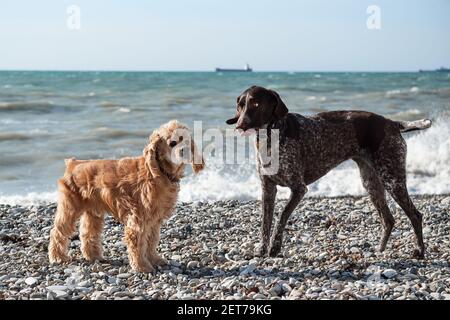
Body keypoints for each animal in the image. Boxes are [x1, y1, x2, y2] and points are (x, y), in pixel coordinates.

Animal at [229, 85, 432, 260]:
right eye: (241, 104)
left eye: (256, 104)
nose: (240, 124)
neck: (271, 135)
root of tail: (392, 123)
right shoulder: (268, 189)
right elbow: (265, 224)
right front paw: (262, 250)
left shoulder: (299, 188)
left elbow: (282, 216)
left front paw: (275, 247)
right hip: (372, 183)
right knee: (388, 219)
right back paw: (380, 250)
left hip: (393, 180)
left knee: (415, 215)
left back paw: (419, 251)